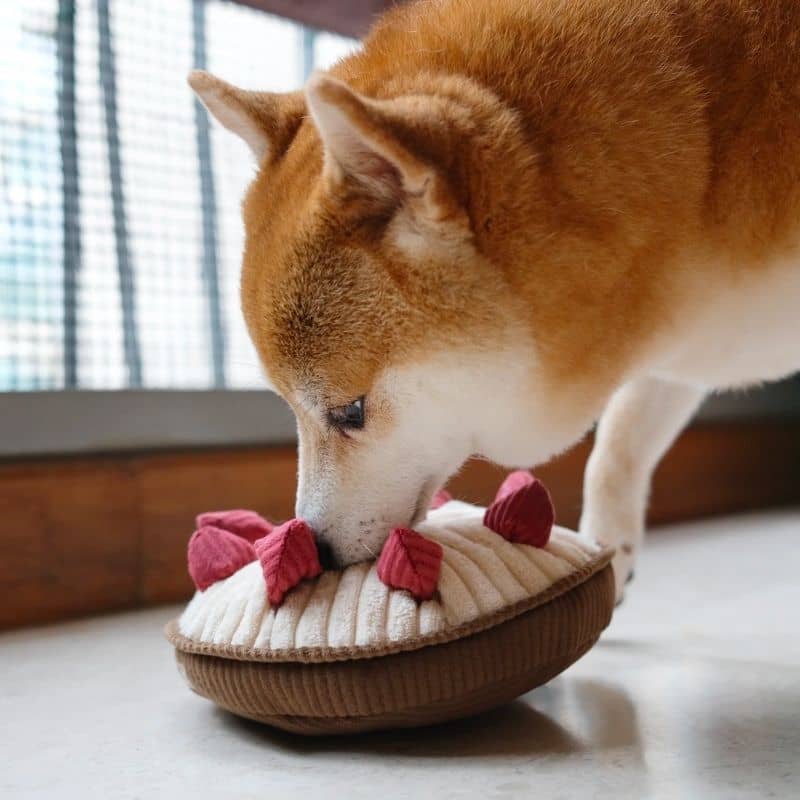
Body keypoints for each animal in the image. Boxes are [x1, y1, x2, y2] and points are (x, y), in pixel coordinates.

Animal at [189, 1, 800, 600]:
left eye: (351, 413)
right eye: (290, 408)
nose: (316, 549)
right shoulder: (679, 334)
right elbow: (616, 452)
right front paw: (612, 550)